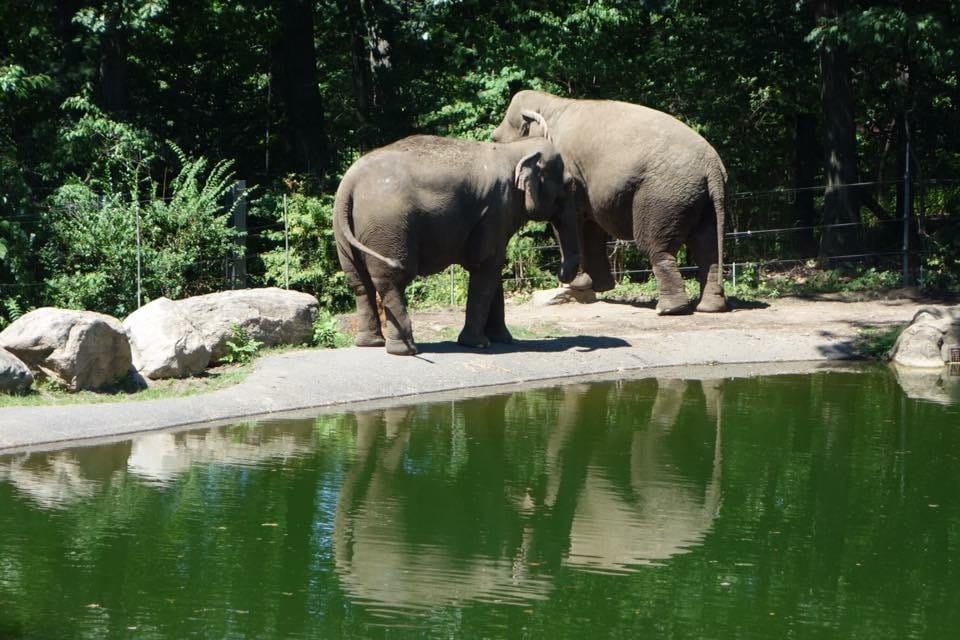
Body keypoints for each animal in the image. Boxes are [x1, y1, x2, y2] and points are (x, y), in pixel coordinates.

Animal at [334, 134, 580, 355]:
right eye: (569, 185)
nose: (562, 273)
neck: (513, 148)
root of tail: (349, 183)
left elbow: (494, 269)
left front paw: (503, 340)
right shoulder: (496, 210)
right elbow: (487, 265)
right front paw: (479, 344)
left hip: (345, 231)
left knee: (359, 281)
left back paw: (370, 344)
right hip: (388, 226)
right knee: (392, 280)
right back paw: (405, 350)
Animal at [491, 90, 729, 315]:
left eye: (495, 140)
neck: (552, 102)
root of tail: (712, 167)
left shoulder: (569, 173)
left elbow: (573, 221)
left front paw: (577, 284)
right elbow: (589, 226)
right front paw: (597, 286)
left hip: (664, 195)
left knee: (655, 246)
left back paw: (668, 310)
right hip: (703, 199)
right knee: (707, 247)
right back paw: (709, 307)